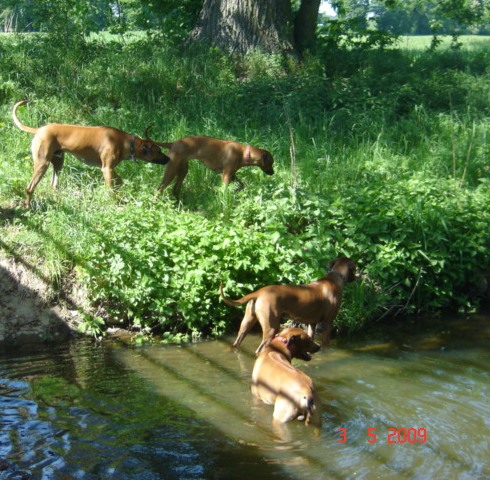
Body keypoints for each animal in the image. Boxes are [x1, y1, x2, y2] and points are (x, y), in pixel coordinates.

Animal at [12, 100, 170, 206]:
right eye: (158, 150)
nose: (168, 159)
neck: (125, 142)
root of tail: (39, 130)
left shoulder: (110, 168)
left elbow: (119, 181)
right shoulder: (106, 169)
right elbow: (111, 190)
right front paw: (116, 203)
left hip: (58, 162)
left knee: (53, 184)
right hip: (42, 164)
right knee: (30, 187)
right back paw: (27, 207)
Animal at [221, 257, 356, 354]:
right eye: (355, 268)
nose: (357, 276)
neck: (335, 278)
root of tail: (258, 292)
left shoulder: (312, 323)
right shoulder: (328, 323)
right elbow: (326, 345)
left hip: (247, 323)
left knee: (237, 342)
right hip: (271, 327)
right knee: (260, 349)